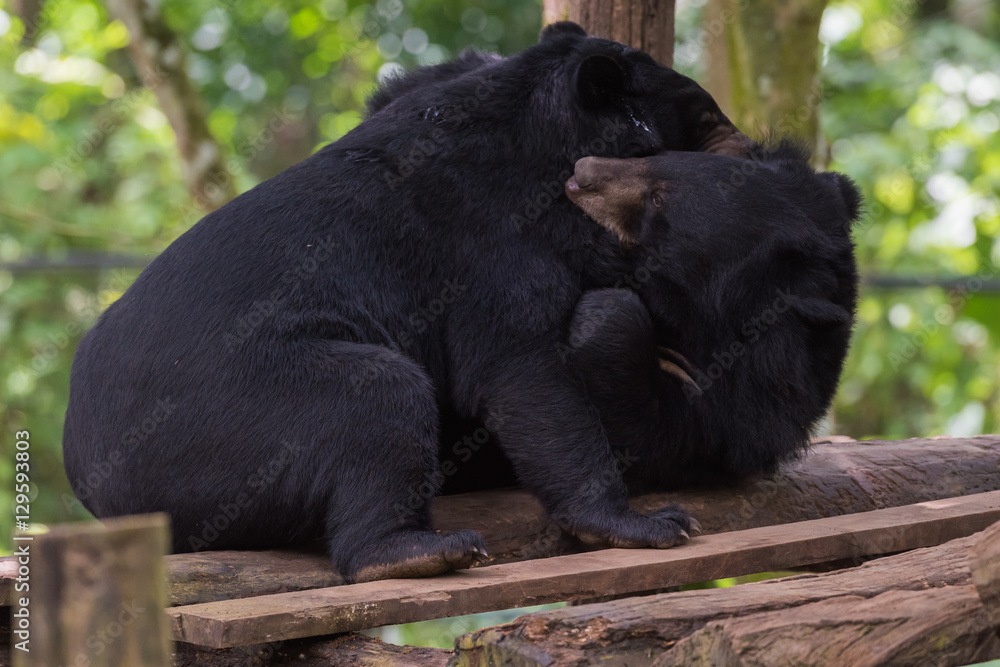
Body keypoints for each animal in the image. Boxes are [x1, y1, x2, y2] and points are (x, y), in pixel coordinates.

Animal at [63, 22, 750, 582]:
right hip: (232, 419)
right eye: (708, 119)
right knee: (376, 396)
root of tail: (96, 487)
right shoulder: (493, 249)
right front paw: (645, 522)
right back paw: (416, 550)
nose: (754, 152)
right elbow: (524, 374)